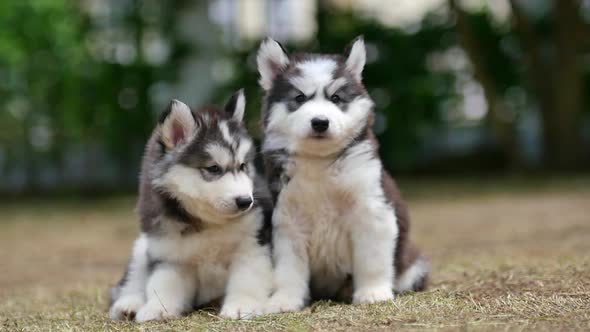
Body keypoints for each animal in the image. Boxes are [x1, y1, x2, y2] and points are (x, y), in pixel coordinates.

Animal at [109, 91, 276, 322]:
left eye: (243, 166)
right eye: (213, 168)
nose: (246, 201)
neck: (209, 223)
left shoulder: (253, 245)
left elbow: (247, 279)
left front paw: (242, 305)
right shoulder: (170, 255)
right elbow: (164, 284)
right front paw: (157, 308)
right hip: (141, 248)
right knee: (130, 281)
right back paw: (128, 304)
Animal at [260, 37, 430, 312]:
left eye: (336, 97)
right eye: (299, 97)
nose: (320, 122)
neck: (320, 163)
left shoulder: (372, 209)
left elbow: (372, 259)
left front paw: (373, 292)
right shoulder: (287, 219)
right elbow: (288, 268)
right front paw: (284, 299)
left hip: (414, 264)